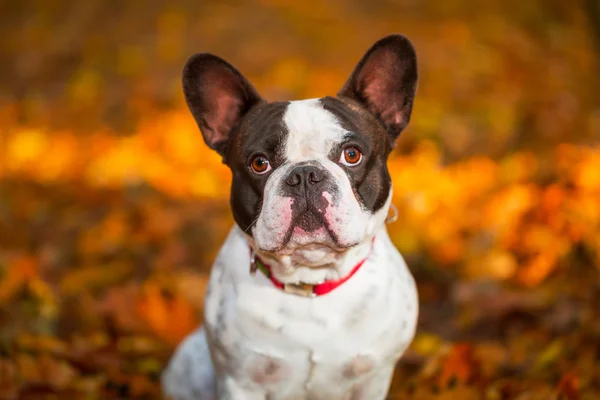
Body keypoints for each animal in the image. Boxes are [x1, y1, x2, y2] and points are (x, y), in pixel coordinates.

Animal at [162, 35, 420, 400]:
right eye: (259, 163)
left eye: (352, 155)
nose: (305, 175)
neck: (310, 277)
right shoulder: (240, 381)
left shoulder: (372, 379)